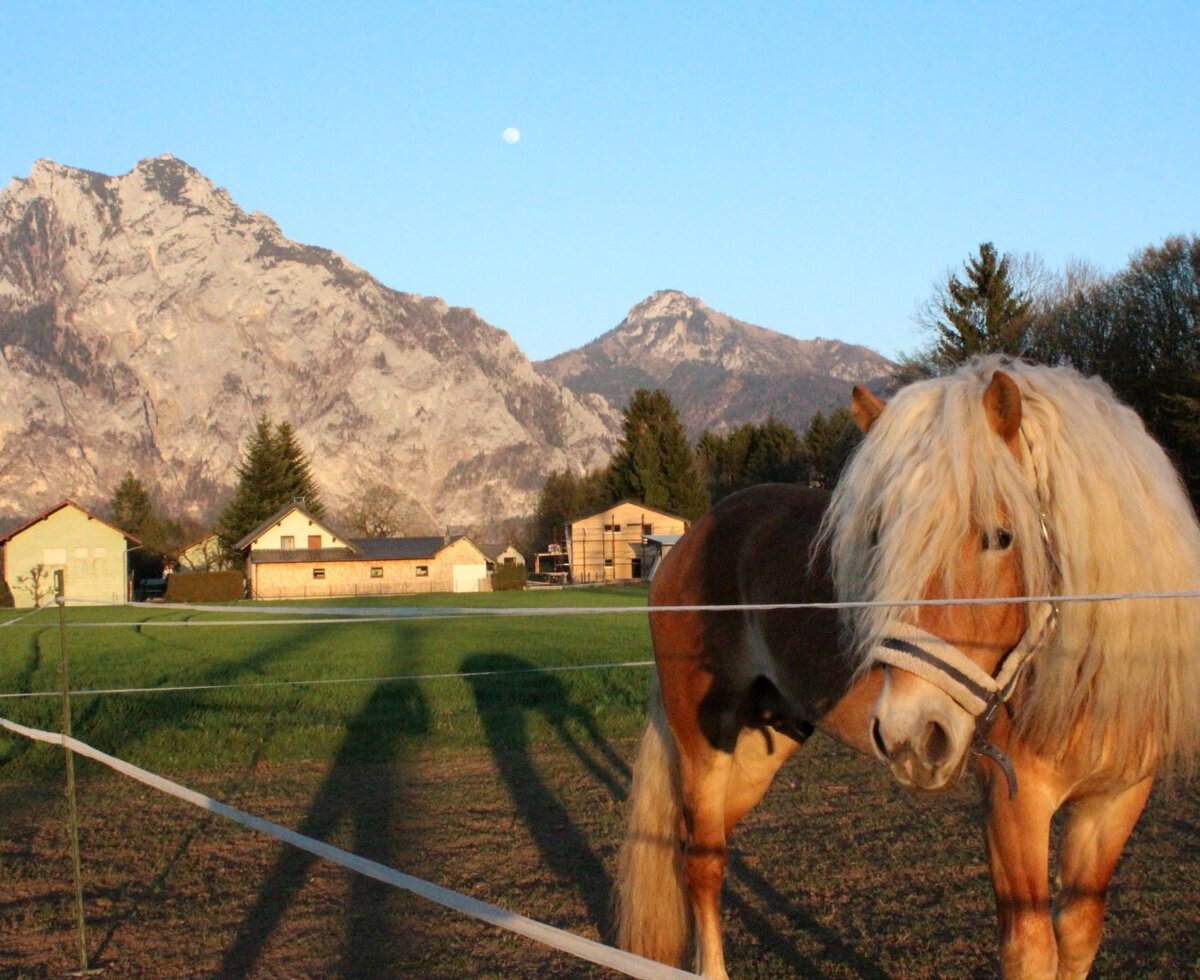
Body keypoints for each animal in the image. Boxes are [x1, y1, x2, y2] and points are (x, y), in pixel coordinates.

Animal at [615, 357, 1200, 979]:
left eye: (1001, 536)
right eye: (881, 538)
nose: (910, 734)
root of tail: (687, 542)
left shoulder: (1115, 803)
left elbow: (1079, 936)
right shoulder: (1015, 805)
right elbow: (1032, 950)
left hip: (760, 746)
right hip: (707, 736)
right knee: (702, 862)